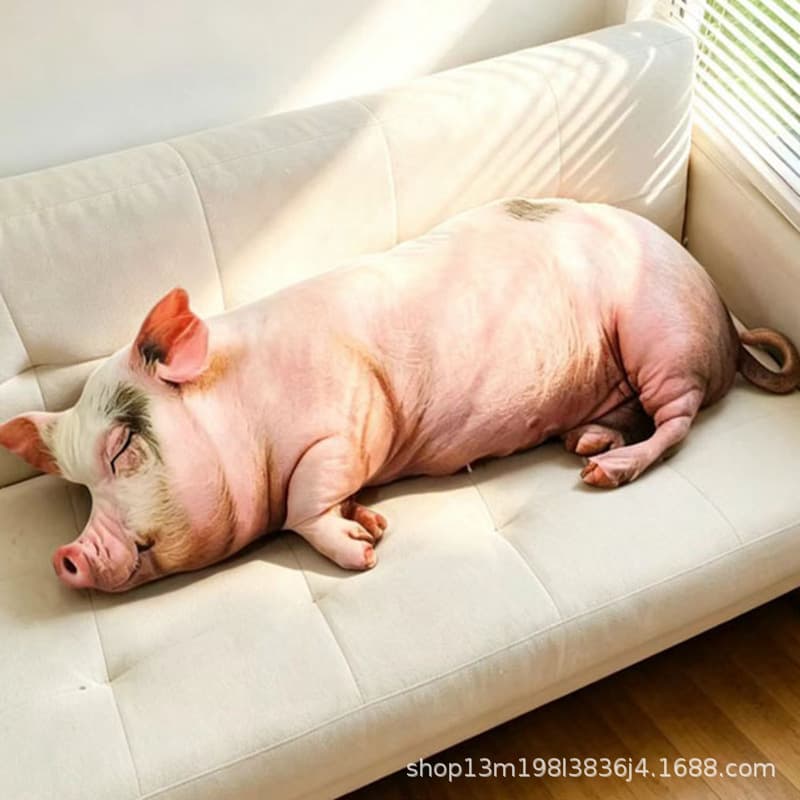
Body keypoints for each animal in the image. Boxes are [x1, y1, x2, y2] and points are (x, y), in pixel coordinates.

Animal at [1, 198, 798, 592]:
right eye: (77, 484)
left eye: (121, 449)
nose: (66, 556)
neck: (247, 414)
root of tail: (721, 308)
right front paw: (372, 525)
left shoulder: (348, 423)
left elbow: (303, 504)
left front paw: (364, 553)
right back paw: (587, 440)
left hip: (661, 337)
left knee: (680, 421)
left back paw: (602, 471)